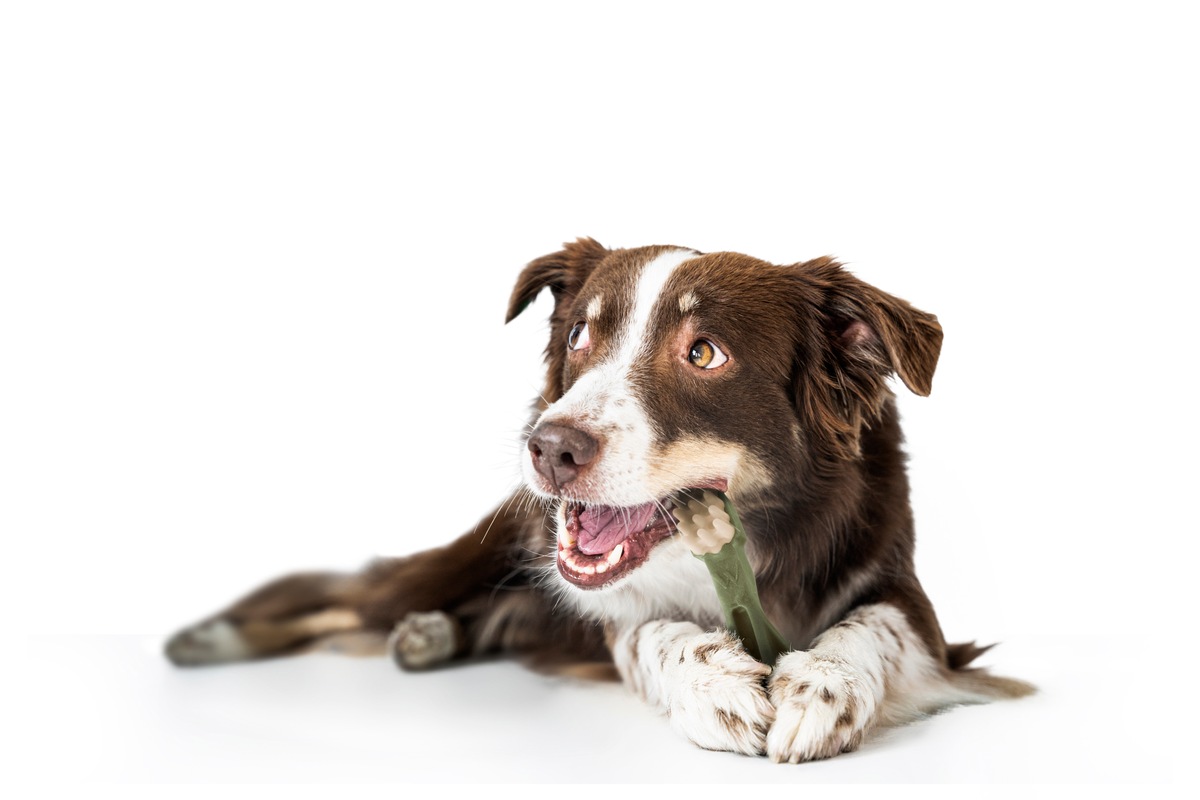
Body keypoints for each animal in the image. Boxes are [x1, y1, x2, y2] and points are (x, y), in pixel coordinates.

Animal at [164, 239, 1036, 762]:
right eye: (580, 336)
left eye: (705, 353)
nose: (549, 448)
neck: (754, 546)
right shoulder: (613, 612)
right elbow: (650, 631)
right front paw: (717, 683)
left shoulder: (912, 601)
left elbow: (872, 626)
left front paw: (822, 687)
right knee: (351, 598)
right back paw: (212, 639)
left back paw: (430, 638)